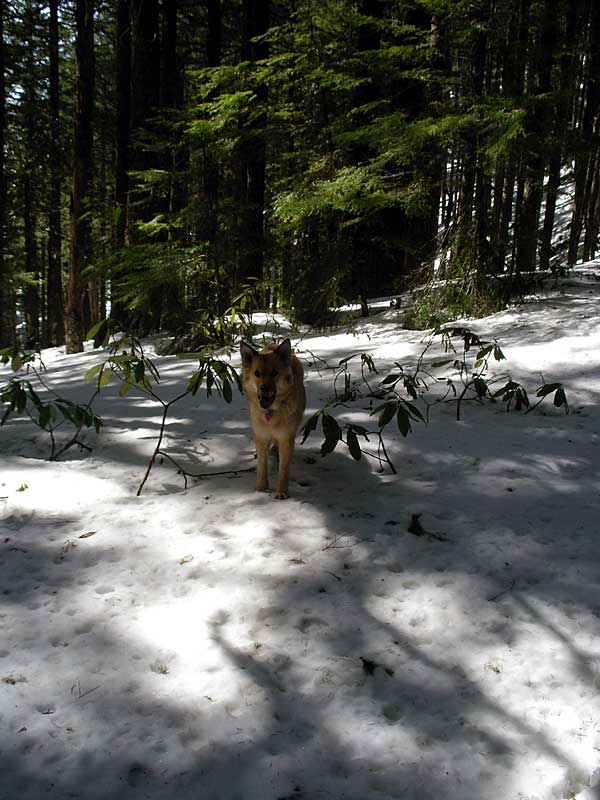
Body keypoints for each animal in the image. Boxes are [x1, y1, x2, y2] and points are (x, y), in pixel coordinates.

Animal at [239, 340, 304, 500]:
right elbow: (262, 465)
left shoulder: (286, 438)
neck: (270, 411)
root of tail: (273, 345)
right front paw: (261, 488)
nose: (264, 388)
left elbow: (284, 470)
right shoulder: (261, 437)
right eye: (257, 373)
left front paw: (281, 491)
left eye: (274, 373)